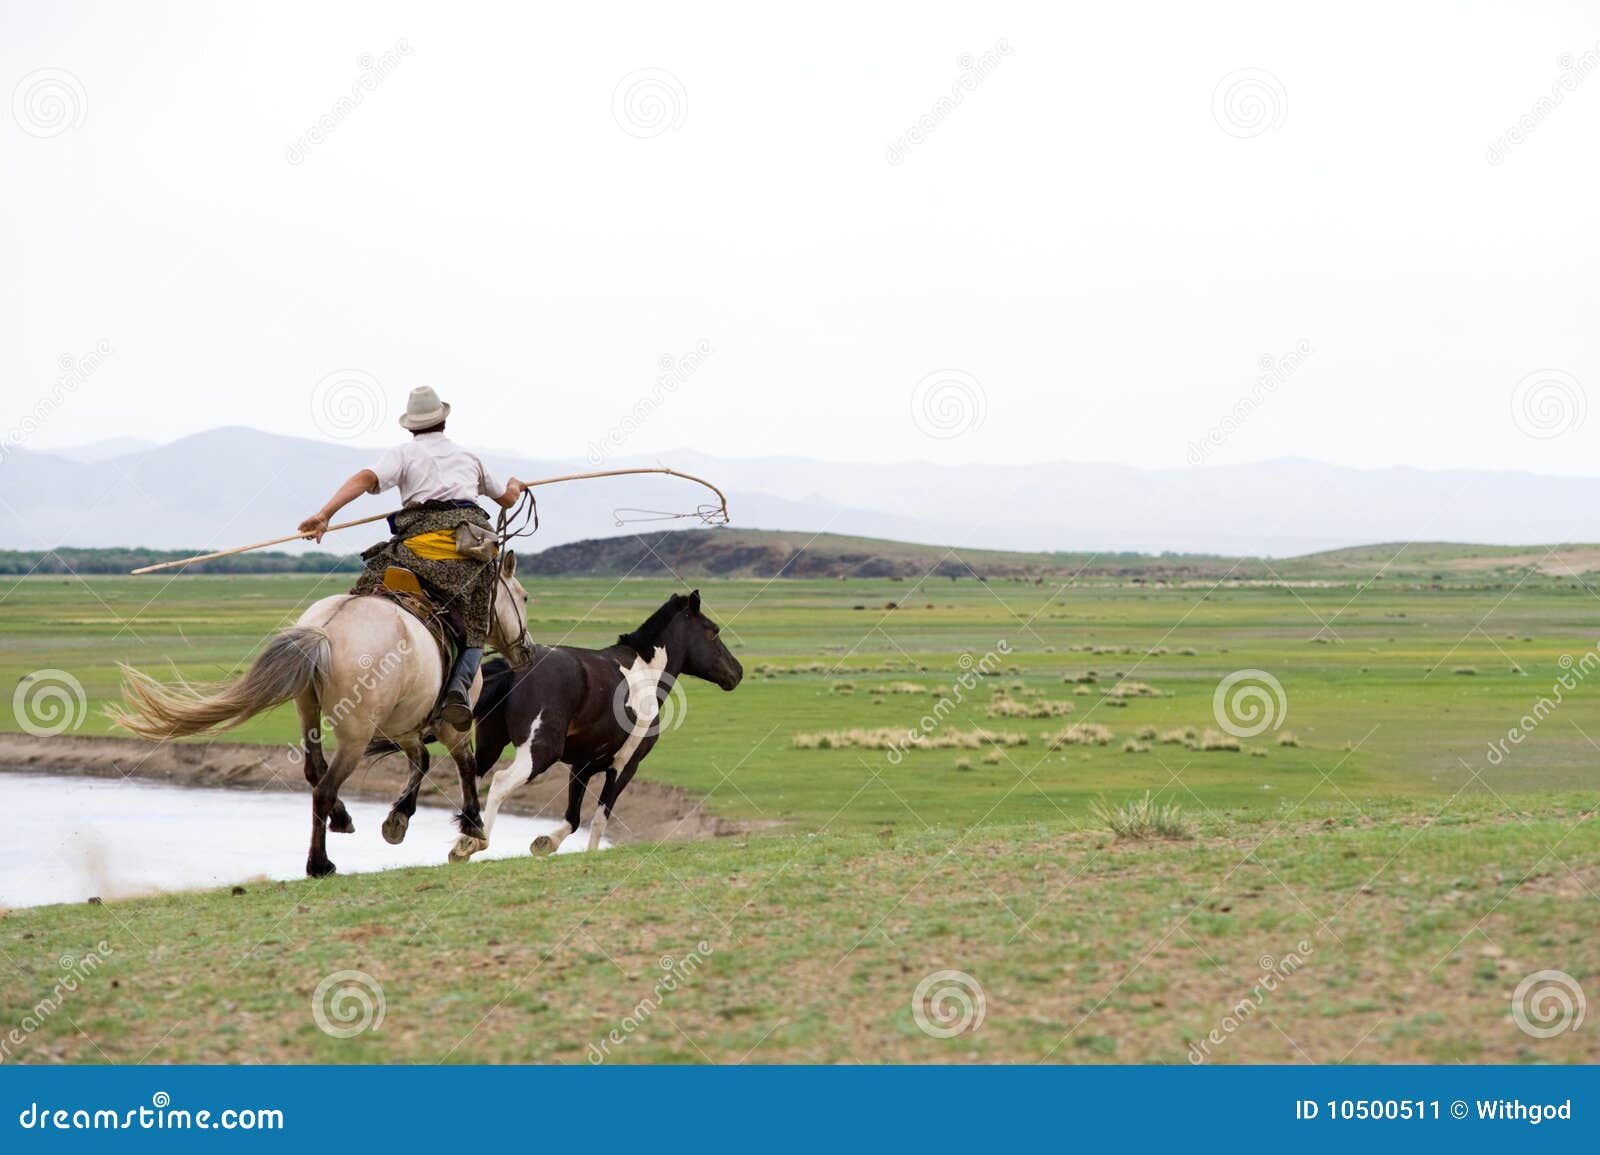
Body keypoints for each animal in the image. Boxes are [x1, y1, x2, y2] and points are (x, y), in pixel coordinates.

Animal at [116, 550, 537, 870]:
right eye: (523, 596)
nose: (528, 651)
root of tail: (326, 631)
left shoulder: (403, 725)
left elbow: (421, 760)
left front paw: (398, 817)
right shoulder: (451, 723)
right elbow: (463, 764)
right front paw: (472, 825)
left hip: (309, 712)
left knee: (314, 771)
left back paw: (342, 819)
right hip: (355, 734)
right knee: (324, 786)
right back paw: (320, 863)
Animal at [403, 585, 745, 857]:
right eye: (714, 631)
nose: (737, 673)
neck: (645, 674)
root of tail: (515, 669)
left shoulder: (582, 765)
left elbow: (573, 816)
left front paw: (544, 843)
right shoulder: (625, 765)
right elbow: (600, 817)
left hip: (491, 745)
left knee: (471, 778)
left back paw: (461, 841)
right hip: (539, 752)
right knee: (500, 782)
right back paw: (475, 843)